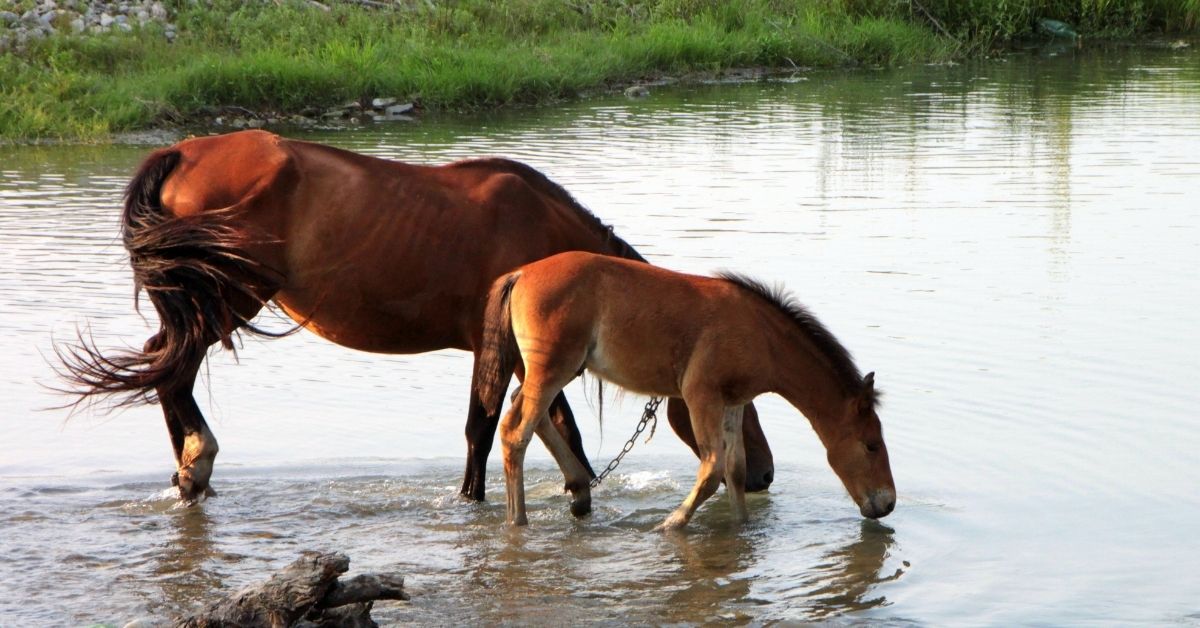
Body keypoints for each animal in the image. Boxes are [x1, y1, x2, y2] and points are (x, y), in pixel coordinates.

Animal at [63, 129, 777, 506]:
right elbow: (484, 430)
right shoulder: (503, 350)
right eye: (737, 397)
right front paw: (472, 502)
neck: (542, 232)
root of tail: (183, 153)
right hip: (223, 301)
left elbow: (554, 427)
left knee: (165, 367)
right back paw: (197, 462)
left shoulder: (536, 352)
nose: (763, 473)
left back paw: (190, 477)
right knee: (170, 369)